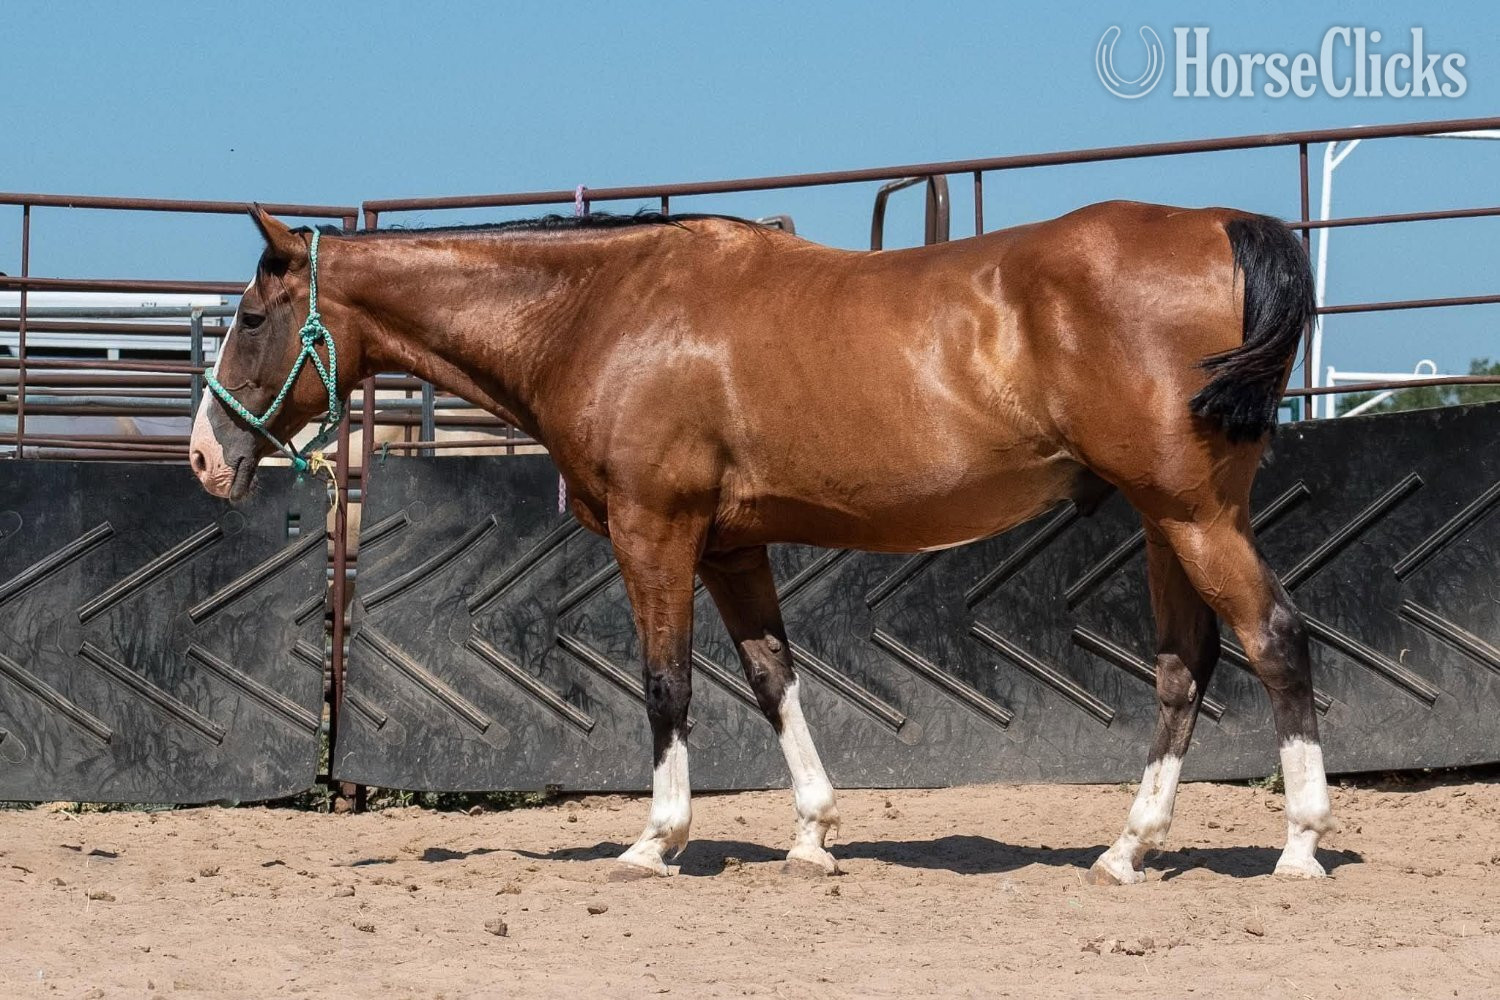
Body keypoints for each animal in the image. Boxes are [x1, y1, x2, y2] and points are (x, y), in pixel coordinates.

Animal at [190, 202, 1333, 884]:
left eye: (249, 318)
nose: (204, 456)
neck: (602, 310)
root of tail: (1221, 224)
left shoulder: (657, 530)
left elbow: (667, 682)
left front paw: (656, 840)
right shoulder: (732, 548)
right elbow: (772, 675)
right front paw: (812, 837)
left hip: (1191, 515)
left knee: (1275, 638)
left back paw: (1299, 846)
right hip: (1166, 519)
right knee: (1185, 665)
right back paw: (1127, 849)